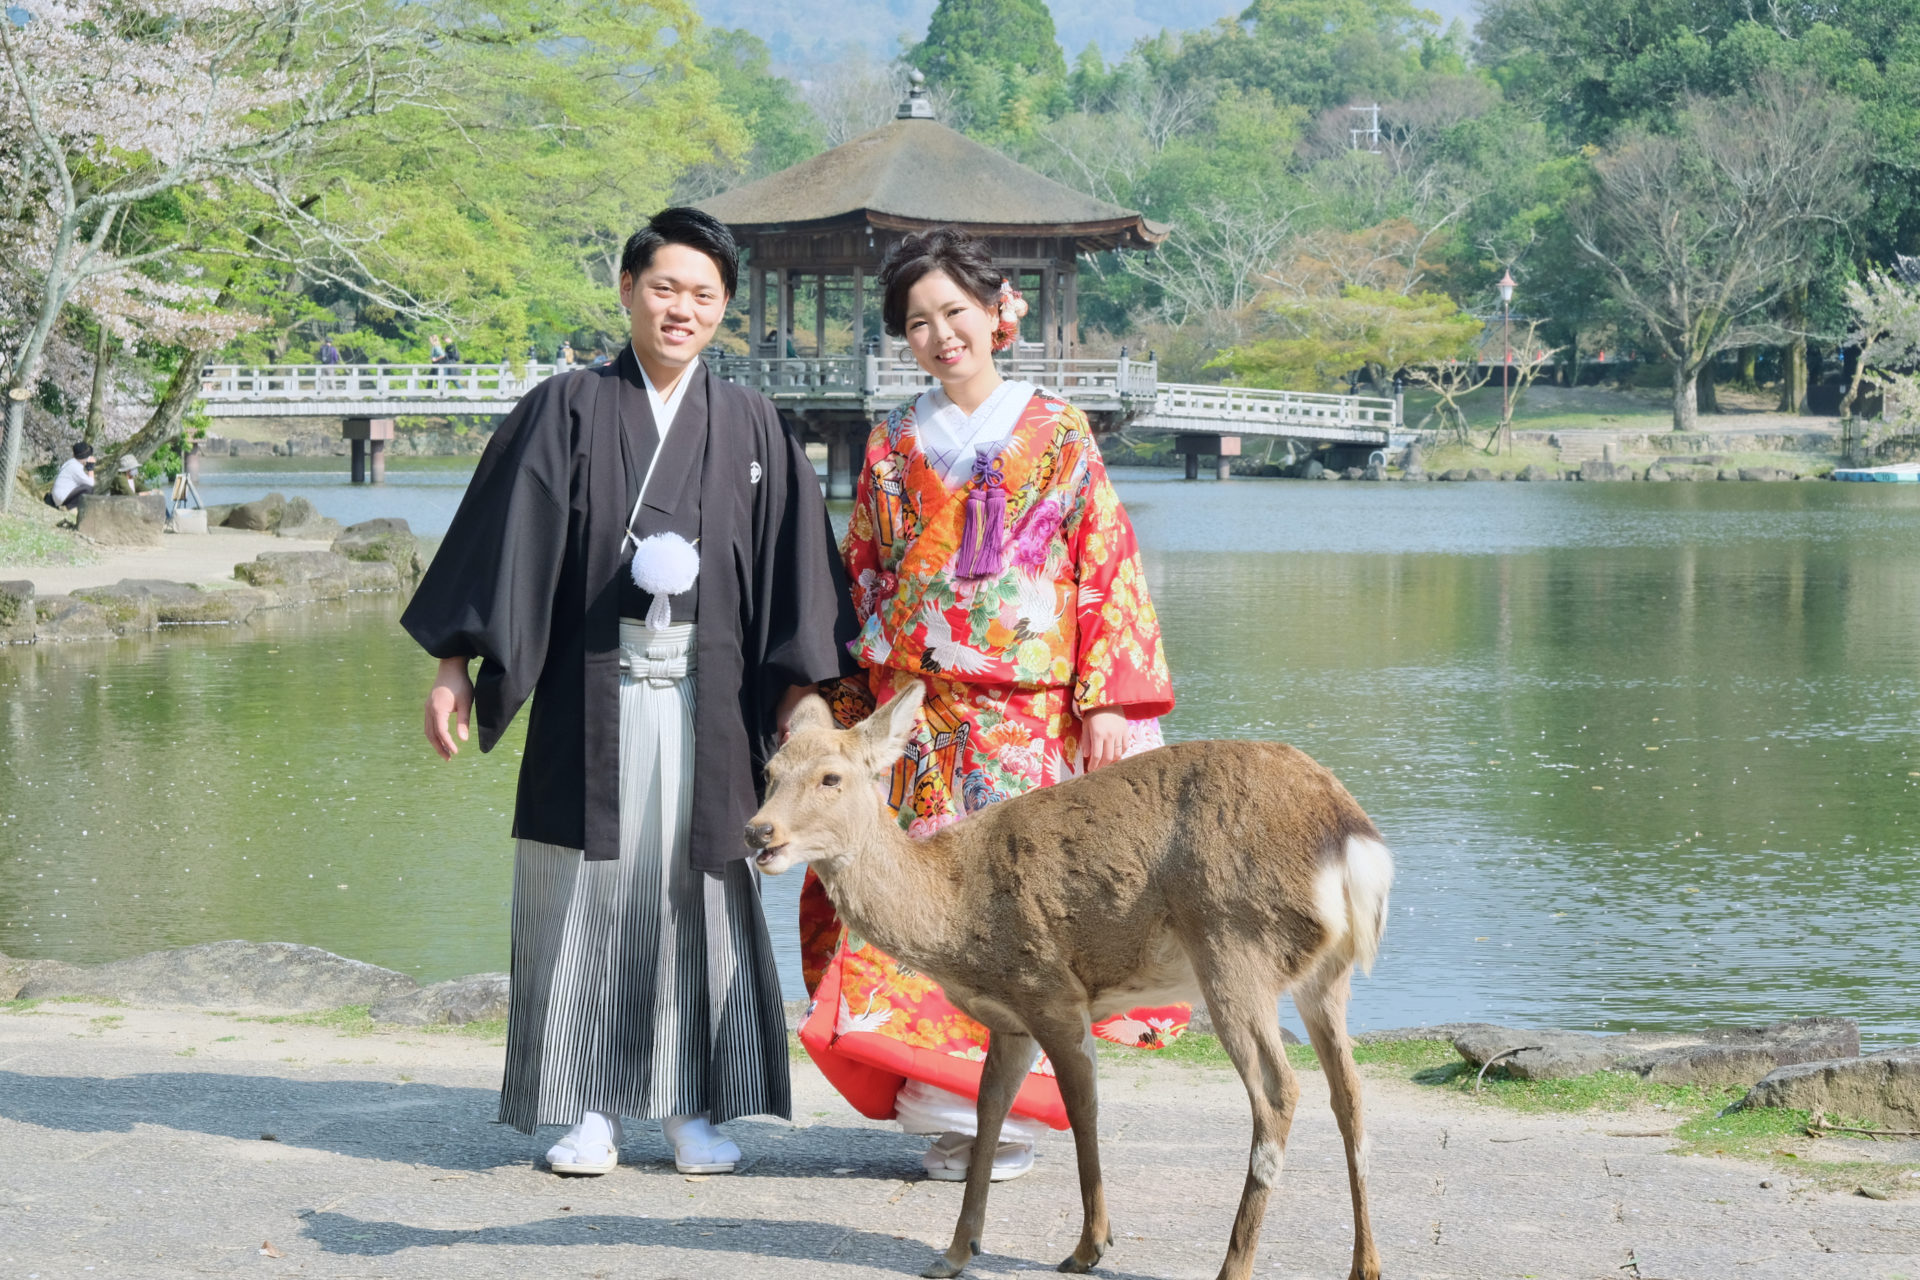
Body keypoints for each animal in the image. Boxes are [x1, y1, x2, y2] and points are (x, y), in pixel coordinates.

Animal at [741, 687, 1390, 1280]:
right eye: (769, 772)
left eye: (831, 777)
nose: (758, 833)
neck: (954, 917)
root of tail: (1350, 838)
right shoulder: (1009, 1020)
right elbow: (989, 1111)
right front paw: (955, 1253)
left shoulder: (1050, 989)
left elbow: (1082, 1108)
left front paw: (1088, 1248)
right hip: (1323, 976)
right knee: (1350, 1093)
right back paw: (1365, 1265)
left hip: (1233, 946)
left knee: (1280, 1092)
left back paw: (1232, 1268)